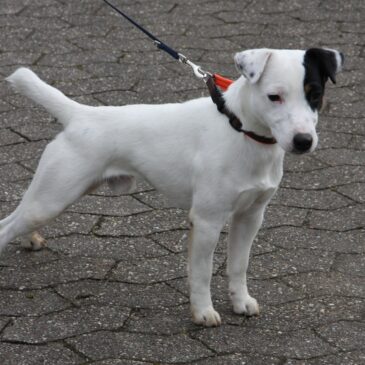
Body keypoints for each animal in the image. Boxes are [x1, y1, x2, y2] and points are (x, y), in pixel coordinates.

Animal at [0, 47, 342, 324]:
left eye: (315, 94)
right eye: (274, 97)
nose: (303, 141)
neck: (240, 129)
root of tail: (80, 114)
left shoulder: (250, 217)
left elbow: (238, 265)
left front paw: (241, 302)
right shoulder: (206, 221)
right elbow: (202, 273)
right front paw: (203, 312)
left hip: (51, 198)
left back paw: (30, 239)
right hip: (52, 198)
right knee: (7, 225)